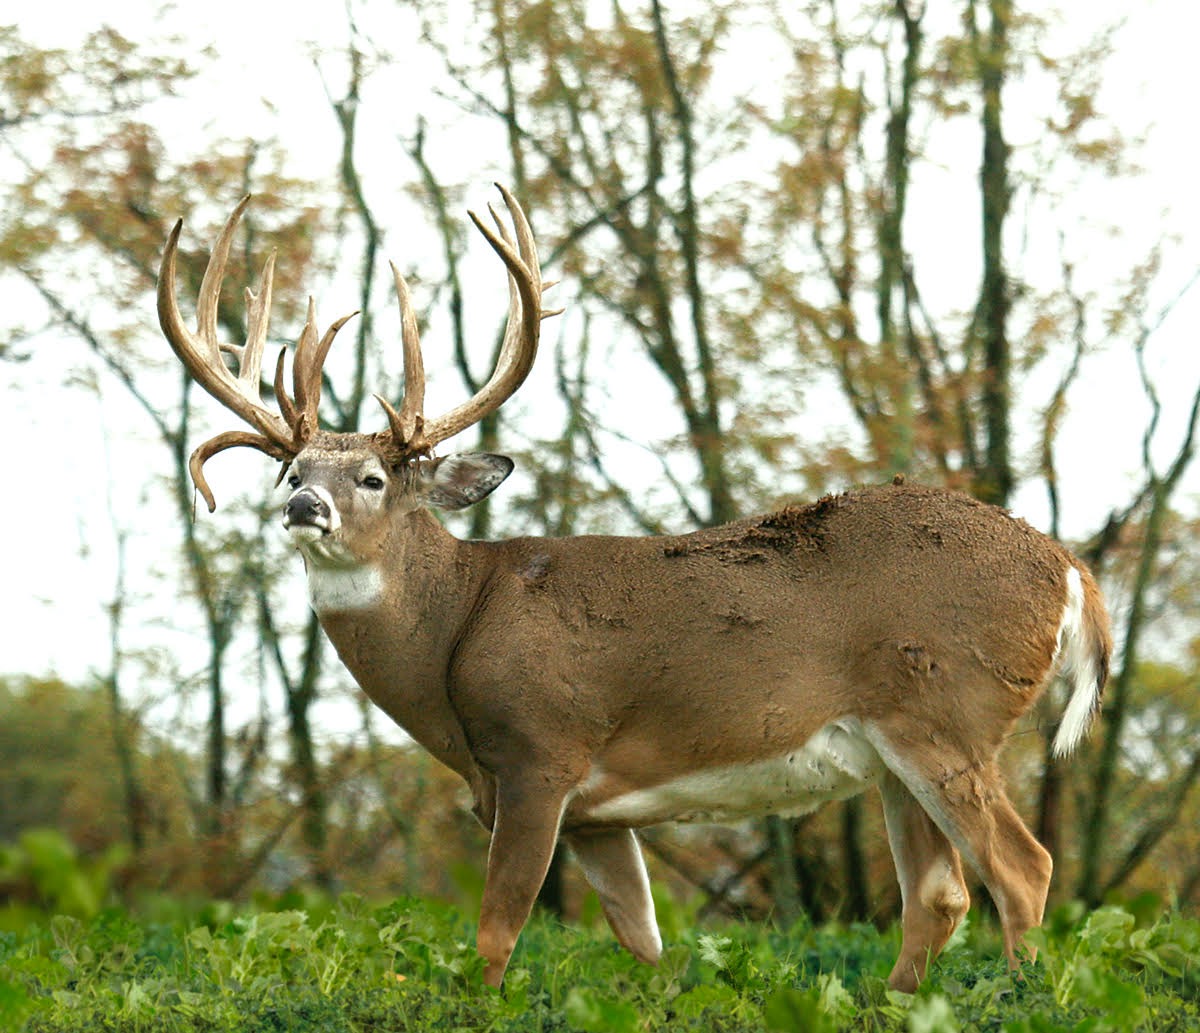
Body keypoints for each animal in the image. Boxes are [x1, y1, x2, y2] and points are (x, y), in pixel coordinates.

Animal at [156, 185, 1112, 992]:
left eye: (372, 478)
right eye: (292, 473)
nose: (304, 507)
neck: (455, 631)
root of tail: (1071, 570)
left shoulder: (540, 751)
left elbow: (495, 936)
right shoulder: (599, 816)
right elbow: (643, 942)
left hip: (949, 710)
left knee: (1022, 870)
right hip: (893, 748)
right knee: (940, 896)